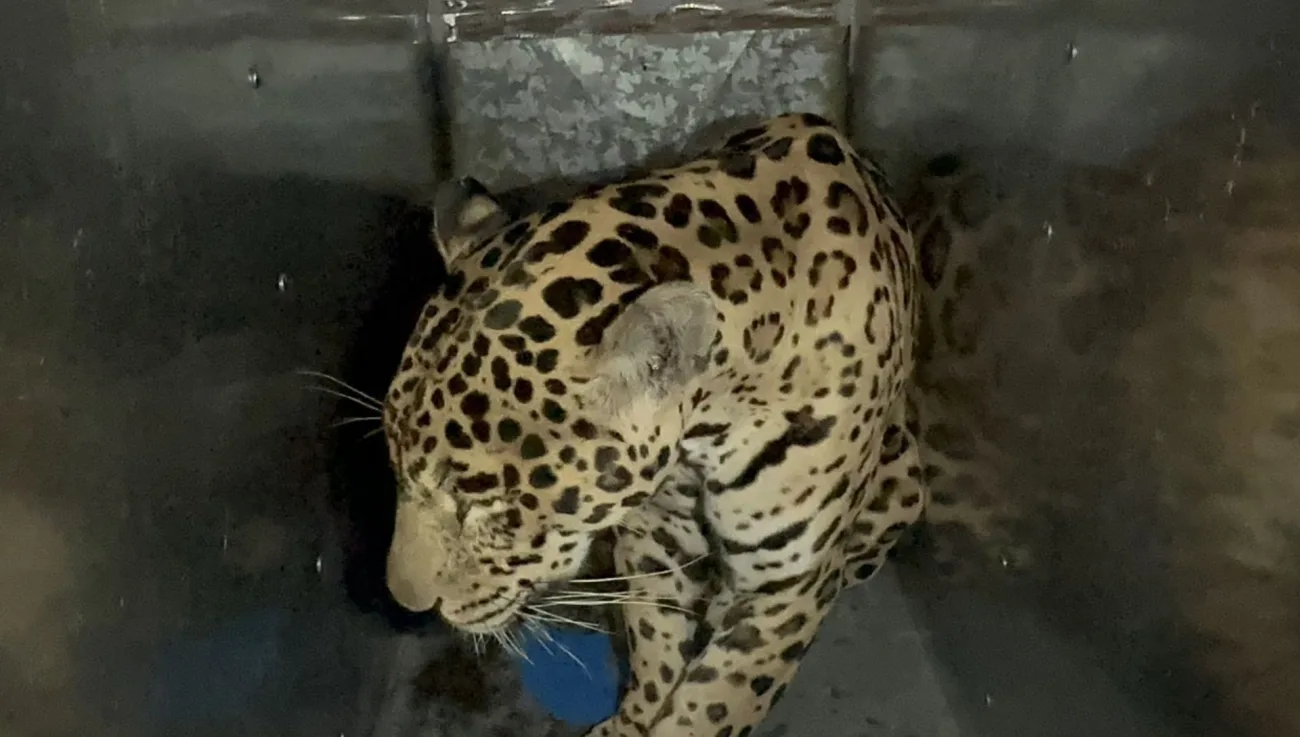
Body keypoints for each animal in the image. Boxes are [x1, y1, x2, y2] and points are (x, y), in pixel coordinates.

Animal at [381, 112, 942, 737]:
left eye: (484, 503)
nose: (406, 604)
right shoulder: (655, 536)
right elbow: (655, 651)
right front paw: (631, 722)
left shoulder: (785, 585)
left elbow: (715, 702)